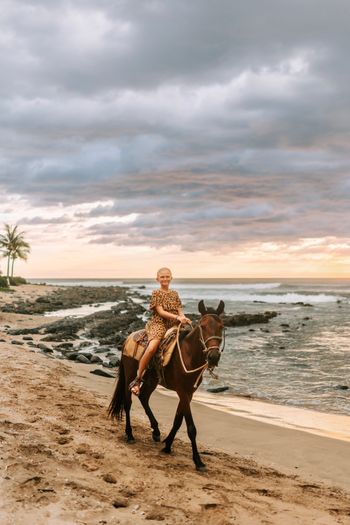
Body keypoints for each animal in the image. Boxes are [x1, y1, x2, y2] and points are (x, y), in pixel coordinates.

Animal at [108, 298, 226, 470]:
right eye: (202, 326)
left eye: (221, 326)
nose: (213, 356)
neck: (189, 354)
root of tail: (128, 338)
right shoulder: (182, 392)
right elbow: (191, 428)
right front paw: (198, 461)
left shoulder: (188, 393)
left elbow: (178, 421)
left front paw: (168, 445)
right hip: (130, 374)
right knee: (128, 403)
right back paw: (129, 434)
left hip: (152, 380)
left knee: (143, 397)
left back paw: (156, 431)